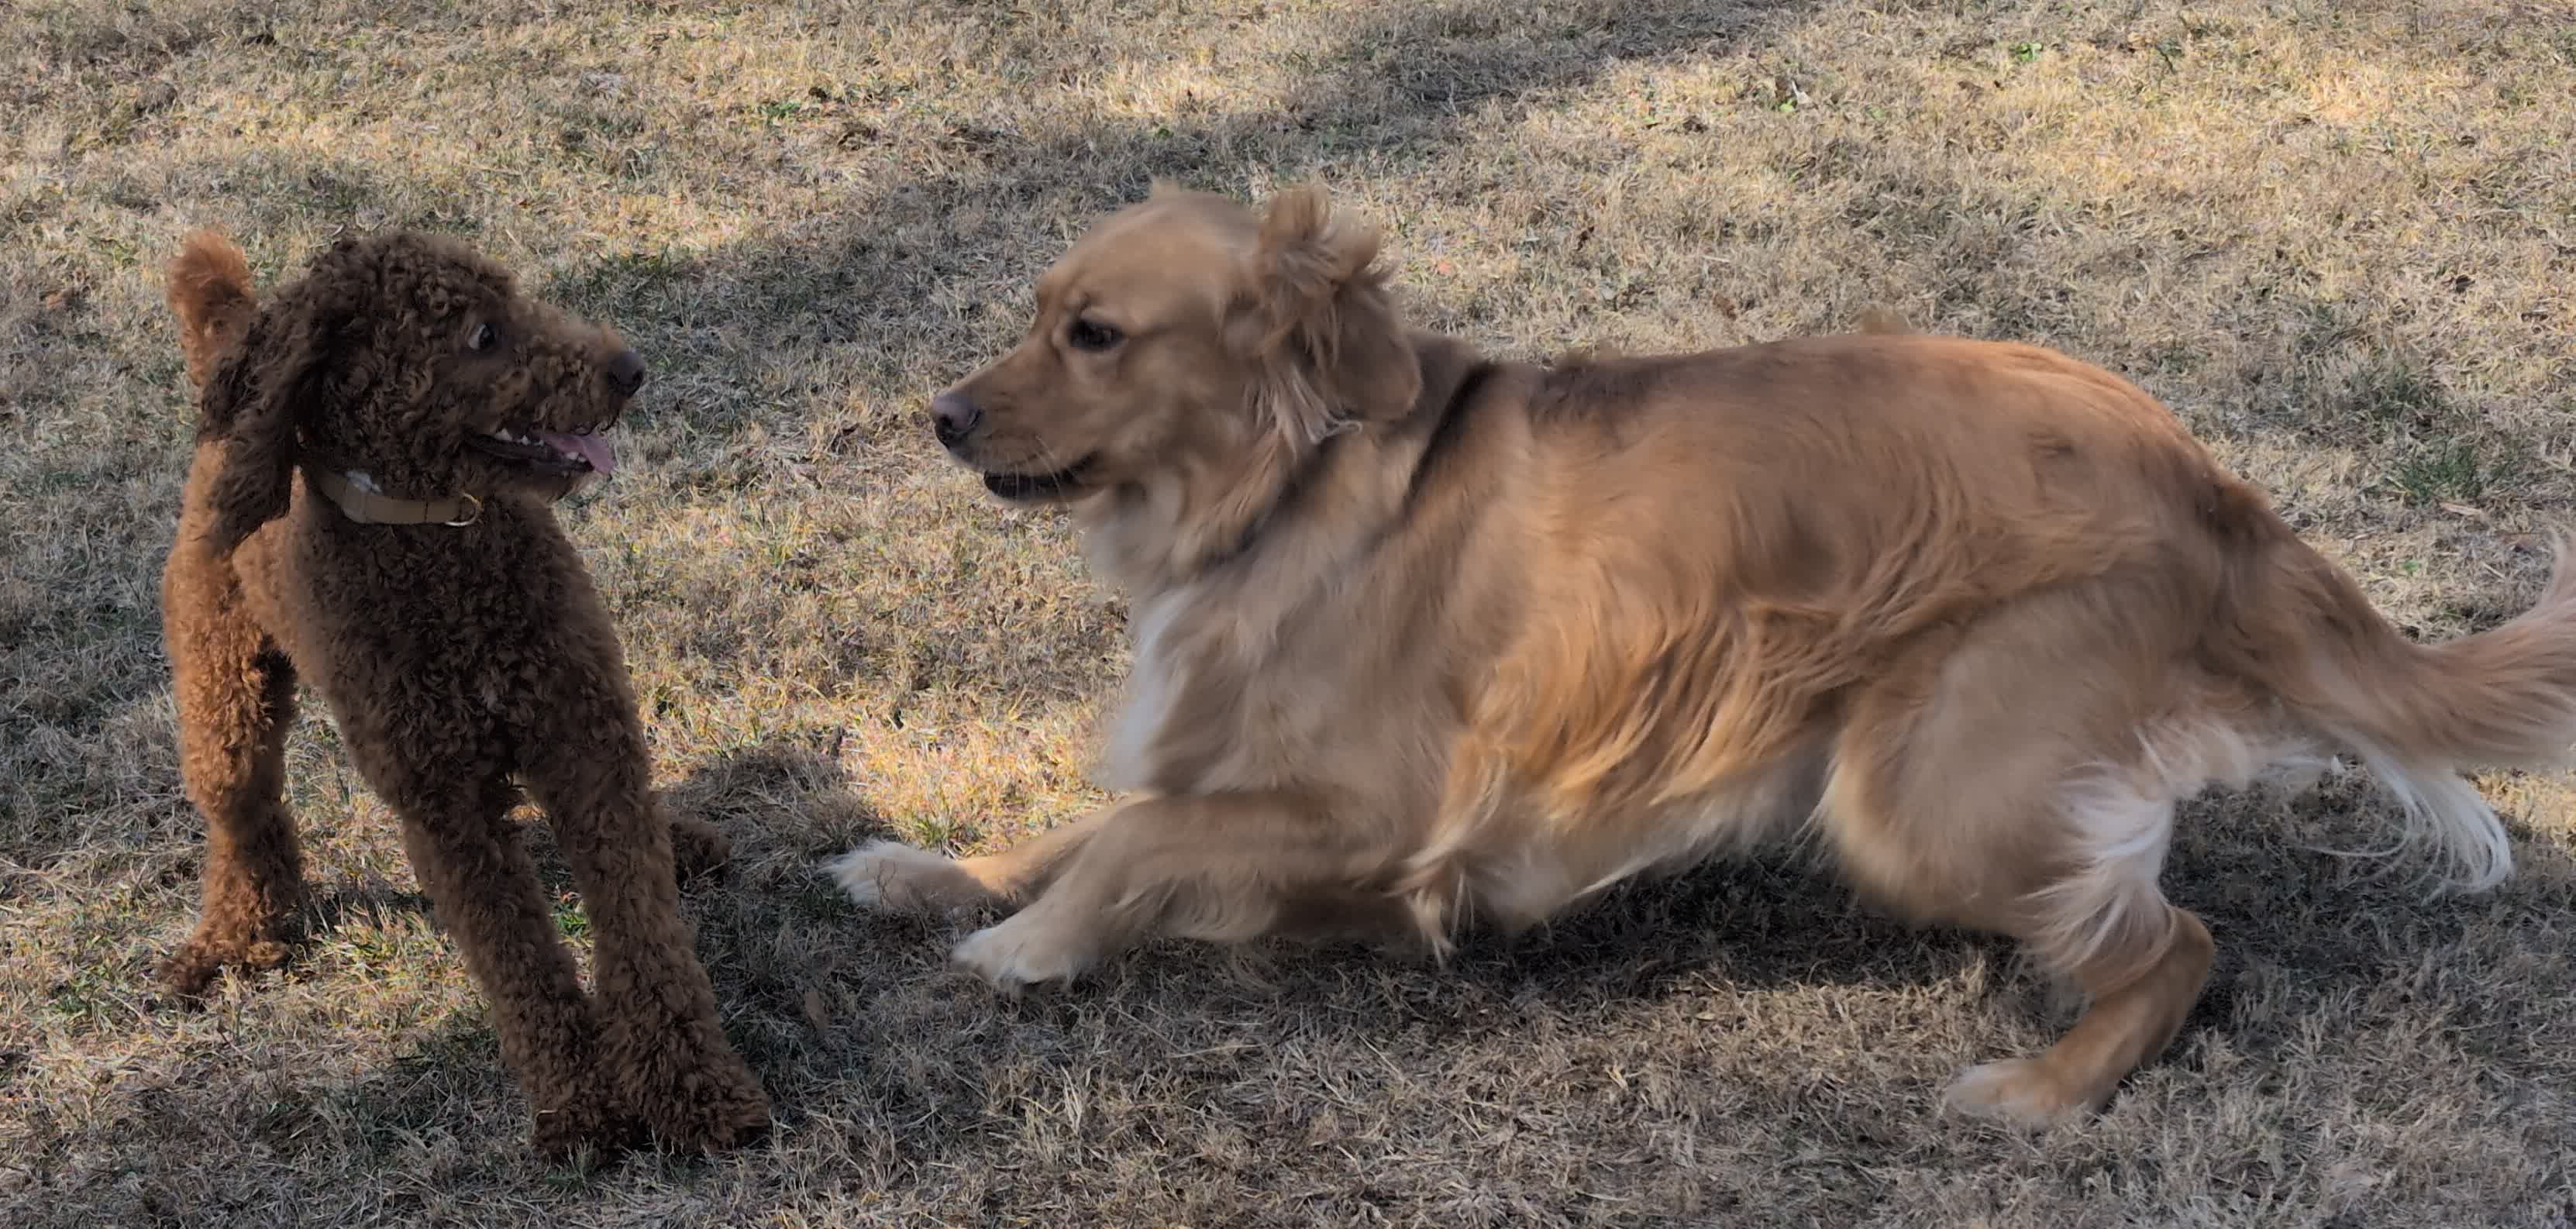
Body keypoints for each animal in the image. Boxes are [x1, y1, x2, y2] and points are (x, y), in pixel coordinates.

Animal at [153, 225, 762, 1154]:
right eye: (482, 335)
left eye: (516, 298)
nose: (629, 368)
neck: (442, 539)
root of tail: (235, 332)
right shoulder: (444, 806)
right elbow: (516, 959)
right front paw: (582, 1104)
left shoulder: (586, 738)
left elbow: (642, 925)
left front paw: (694, 1092)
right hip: (224, 690)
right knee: (244, 817)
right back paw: (236, 939)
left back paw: (682, 839)